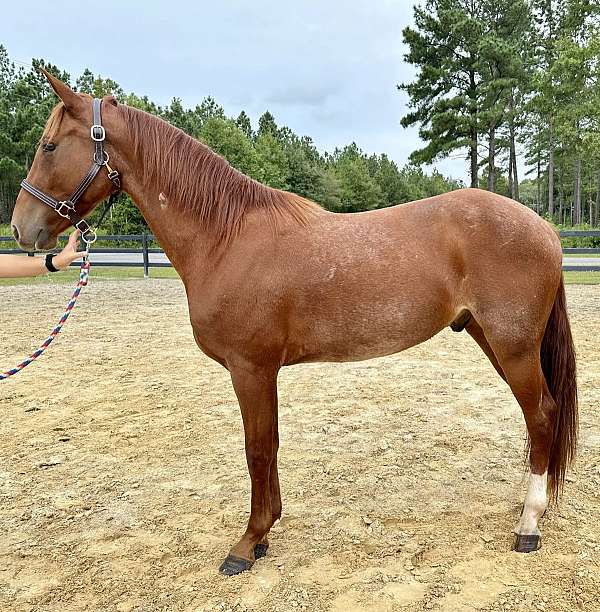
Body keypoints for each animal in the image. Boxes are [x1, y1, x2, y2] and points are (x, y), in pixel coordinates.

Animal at [11, 71, 576, 572]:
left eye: (50, 146)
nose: (22, 228)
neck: (227, 238)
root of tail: (545, 229)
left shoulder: (250, 369)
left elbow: (257, 449)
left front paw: (248, 542)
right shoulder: (264, 373)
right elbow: (272, 444)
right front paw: (265, 533)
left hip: (513, 345)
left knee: (542, 413)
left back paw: (528, 525)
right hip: (493, 340)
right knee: (537, 417)